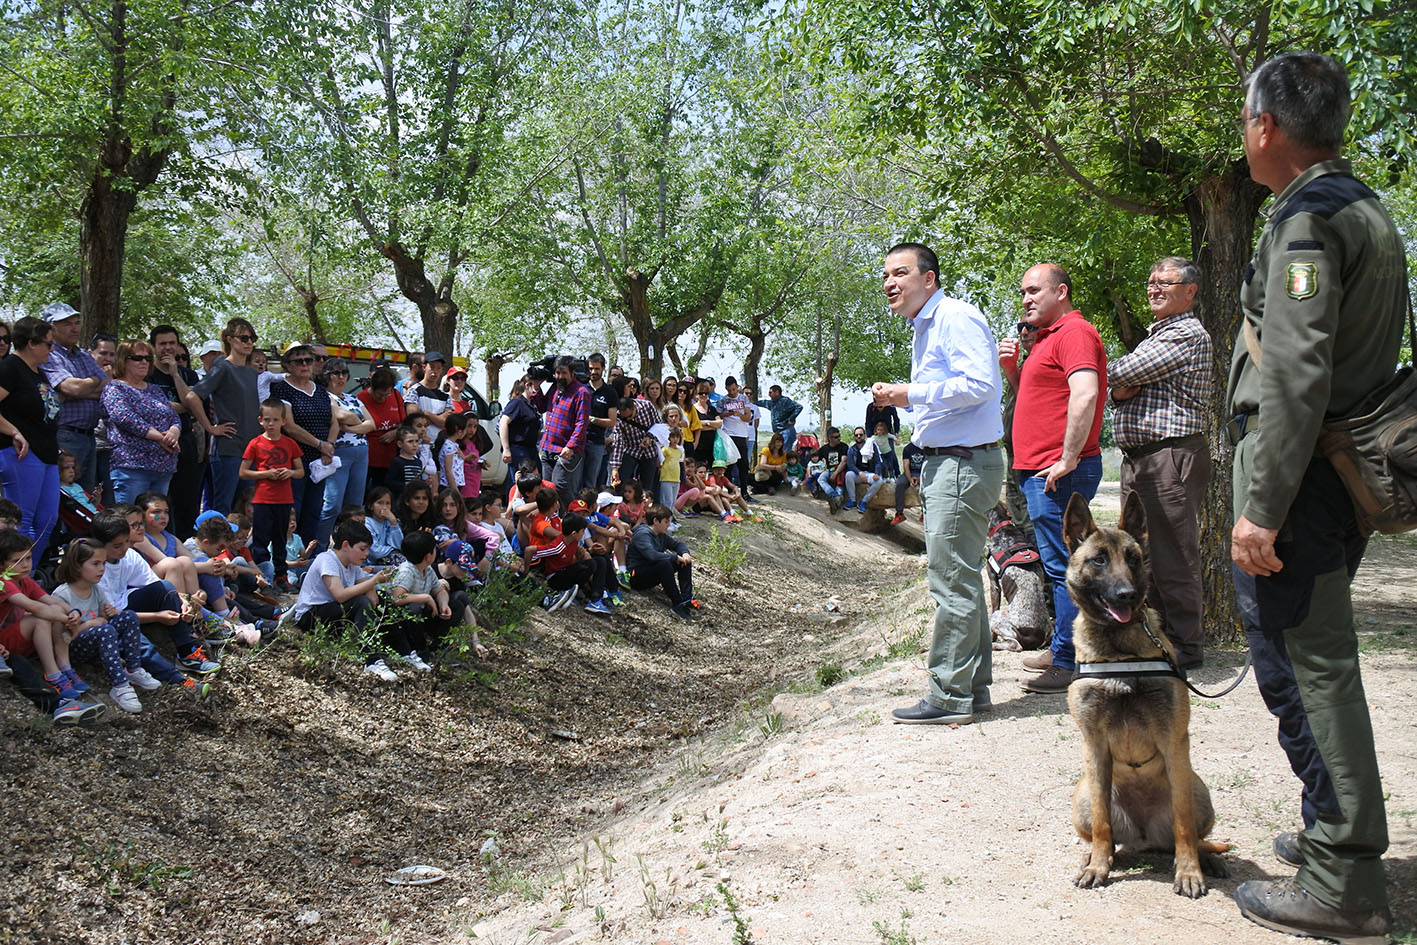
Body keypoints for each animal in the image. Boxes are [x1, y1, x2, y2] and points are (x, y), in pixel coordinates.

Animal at [1065, 493, 1229, 901]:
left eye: (1134, 559)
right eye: (1099, 560)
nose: (1126, 595)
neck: (1120, 651)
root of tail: (1143, 838)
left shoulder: (1174, 742)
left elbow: (1184, 825)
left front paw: (1189, 873)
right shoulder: (1094, 745)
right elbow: (1103, 826)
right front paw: (1098, 867)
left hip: (1198, 788)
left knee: (1193, 836)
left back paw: (1207, 859)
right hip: (1083, 795)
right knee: (1105, 836)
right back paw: (1094, 857)